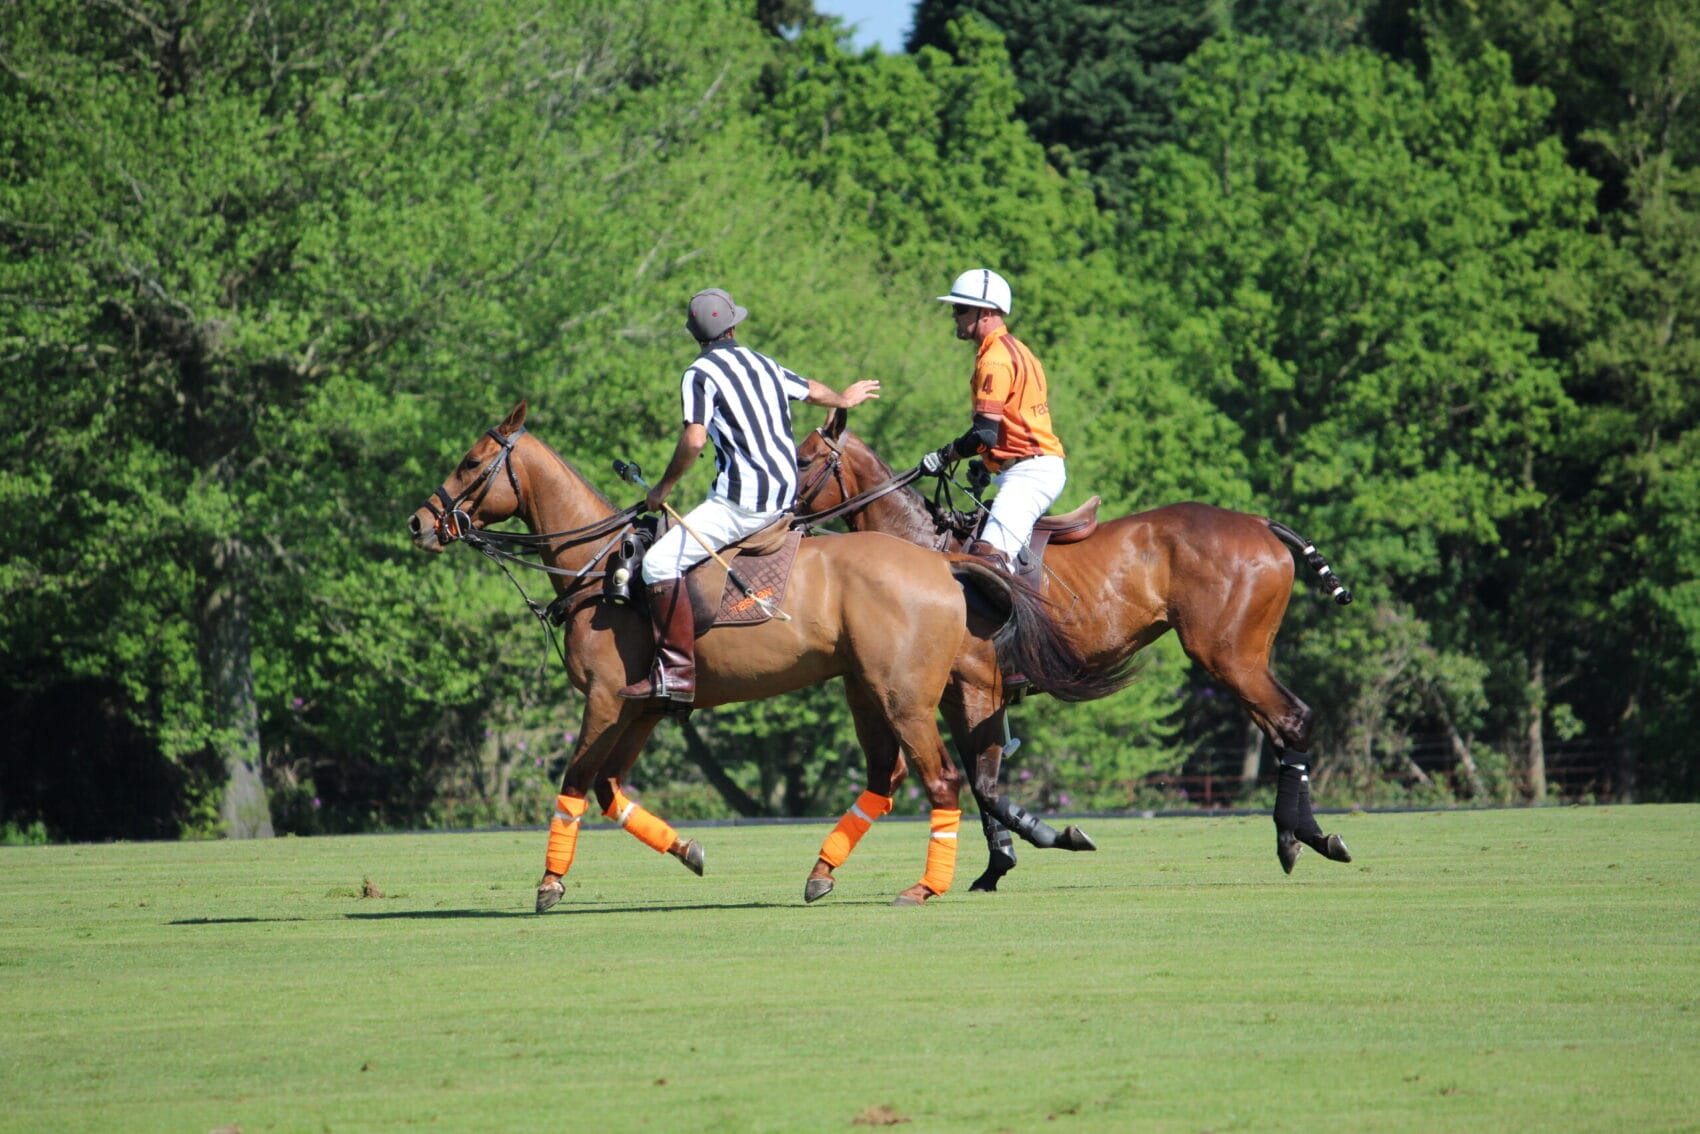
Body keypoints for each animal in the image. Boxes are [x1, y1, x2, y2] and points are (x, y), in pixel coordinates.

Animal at [399, 402, 1115, 911]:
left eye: (471, 462)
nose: (420, 523)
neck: (598, 571)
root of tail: (945, 566)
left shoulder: (603, 700)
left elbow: (574, 781)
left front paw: (549, 885)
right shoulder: (644, 709)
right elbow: (608, 789)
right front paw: (690, 851)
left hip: (905, 693)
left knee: (944, 778)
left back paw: (925, 885)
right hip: (869, 689)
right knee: (897, 777)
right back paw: (825, 872)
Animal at [792, 408, 1353, 884]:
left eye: (804, 459)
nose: (785, 519)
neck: (926, 549)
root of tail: (1260, 523)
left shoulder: (978, 687)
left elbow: (986, 784)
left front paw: (1052, 838)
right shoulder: (956, 695)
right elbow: (978, 781)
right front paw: (996, 866)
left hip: (1227, 655)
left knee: (1292, 720)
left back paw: (1294, 840)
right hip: (1243, 657)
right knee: (1284, 728)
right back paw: (1312, 836)